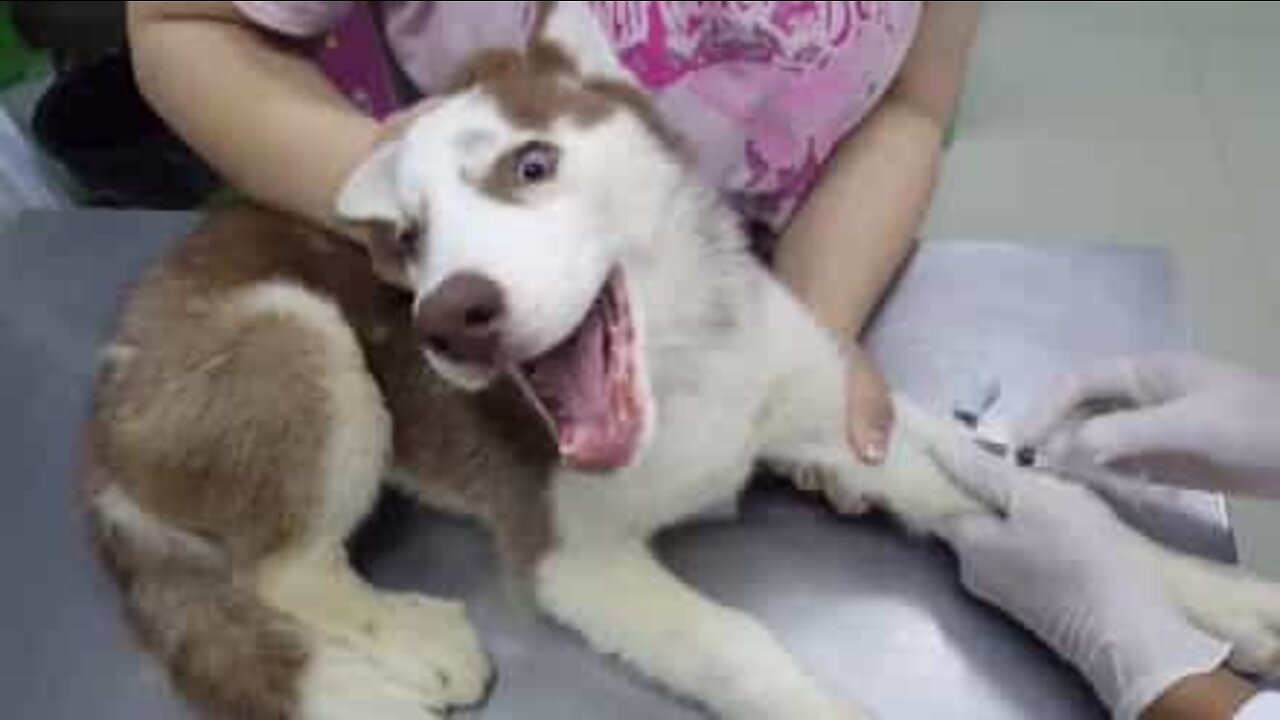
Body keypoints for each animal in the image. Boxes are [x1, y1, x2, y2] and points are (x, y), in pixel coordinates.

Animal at [82, 2, 1280, 712]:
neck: (683, 371)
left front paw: (1215, 598)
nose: (448, 317)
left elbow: (1031, 502)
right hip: (300, 339)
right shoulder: (576, 558)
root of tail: (103, 418)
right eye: (409, 239)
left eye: (530, 164)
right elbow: (744, 647)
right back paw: (406, 643)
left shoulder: (831, 413)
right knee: (279, 567)